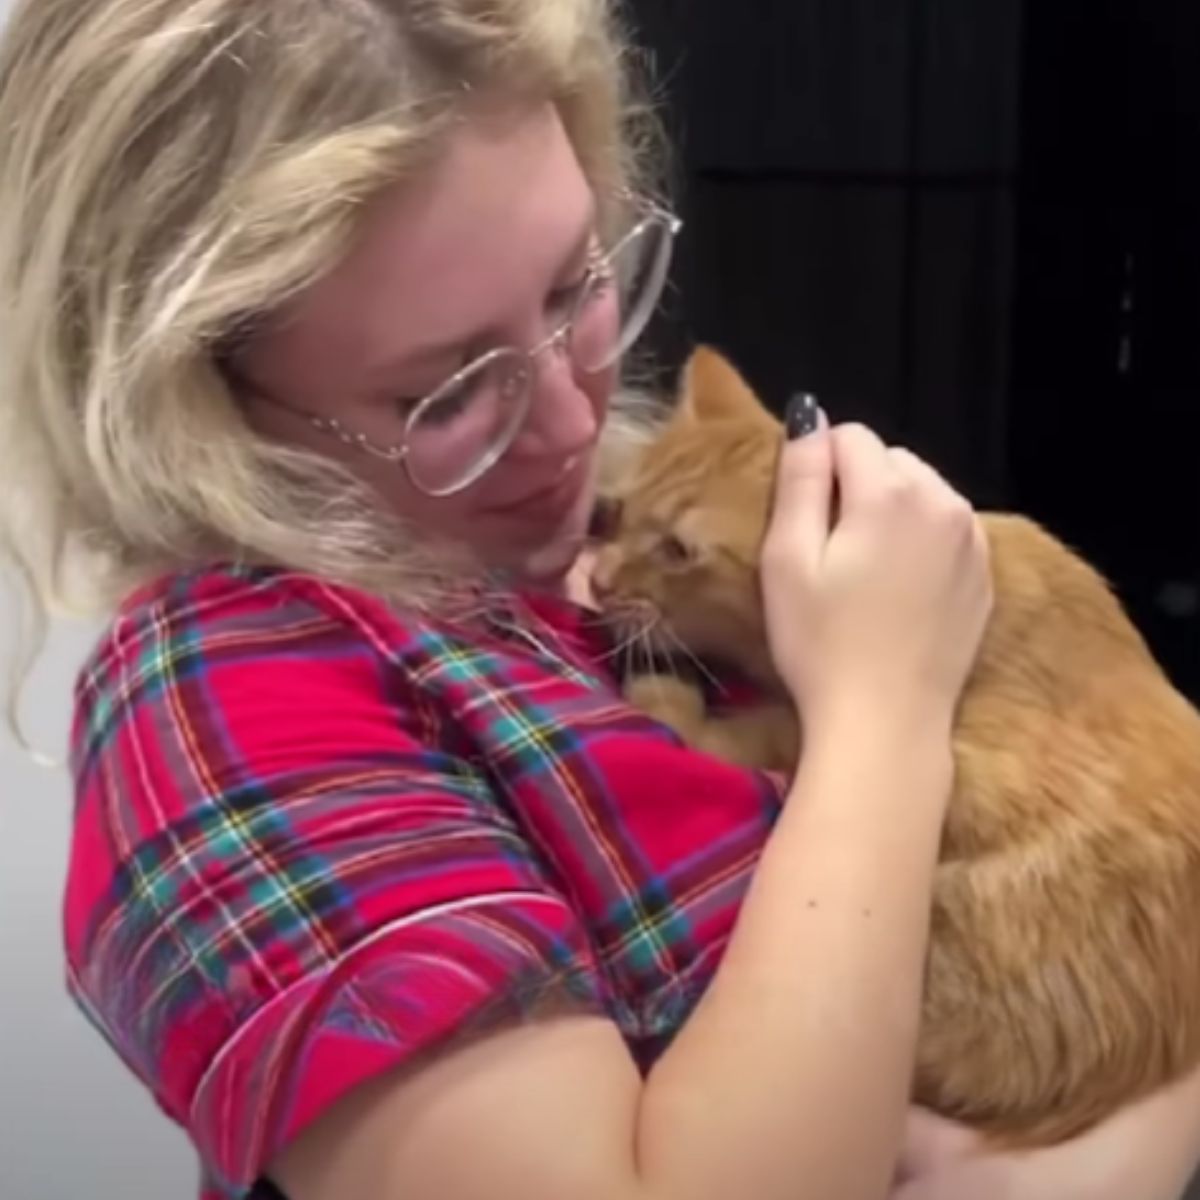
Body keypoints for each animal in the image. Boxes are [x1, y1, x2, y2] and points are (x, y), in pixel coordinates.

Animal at [595, 345, 1200, 1142]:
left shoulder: (962, 765)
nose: (601, 581)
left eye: (677, 549)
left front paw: (672, 701)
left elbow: (763, 732)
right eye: (618, 511)